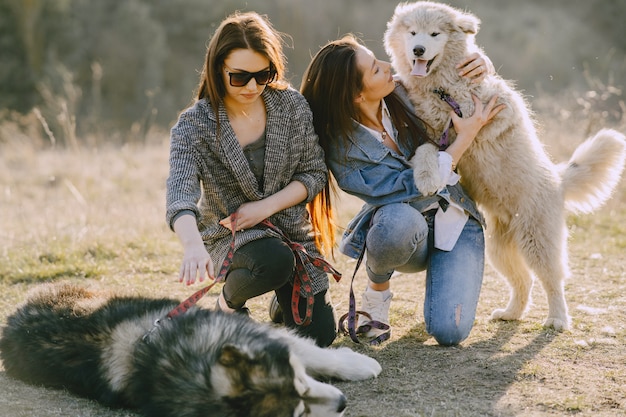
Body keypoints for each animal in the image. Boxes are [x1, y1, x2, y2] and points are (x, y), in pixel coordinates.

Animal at [382, 1, 620, 330]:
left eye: (434, 34)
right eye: (412, 32)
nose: (418, 49)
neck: (440, 88)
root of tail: (559, 179)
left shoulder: (479, 113)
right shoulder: (427, 134)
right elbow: (428, 150)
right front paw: (427, 176)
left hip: (537, 241)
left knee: (552, 281)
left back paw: (557, 318)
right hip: (500, 249)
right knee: (524, 281)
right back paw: (511, 313)